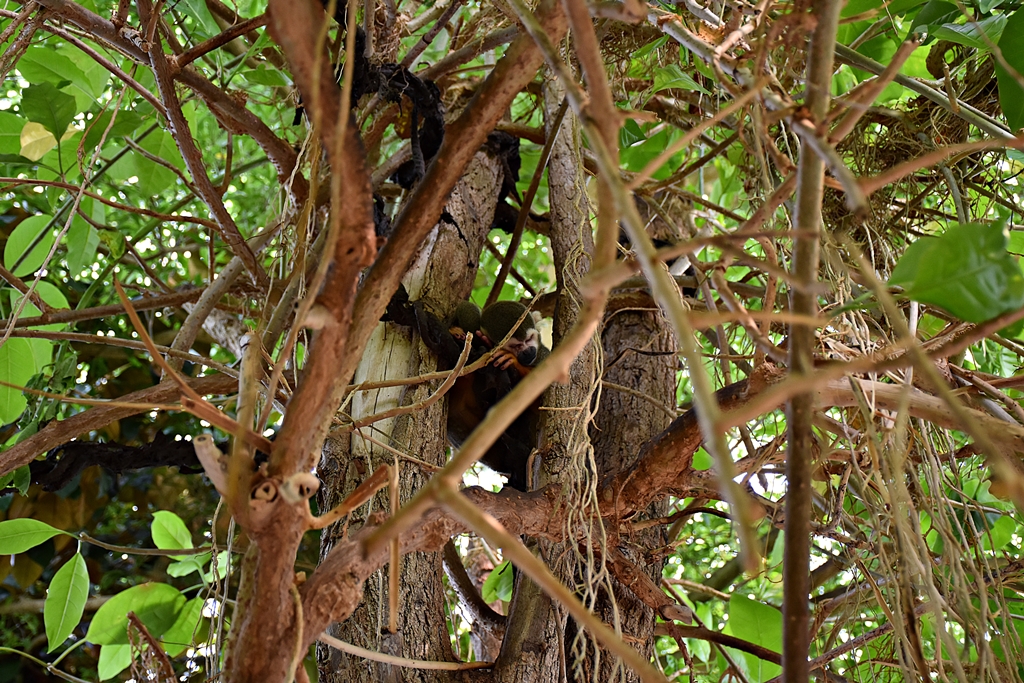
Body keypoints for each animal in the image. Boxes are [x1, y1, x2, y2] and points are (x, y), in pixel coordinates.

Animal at [385, 287, 547, 490]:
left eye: (530, 339)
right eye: (516, 346)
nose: (528, 352)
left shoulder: (542, 355)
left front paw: (512, 362)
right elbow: (467, 313)